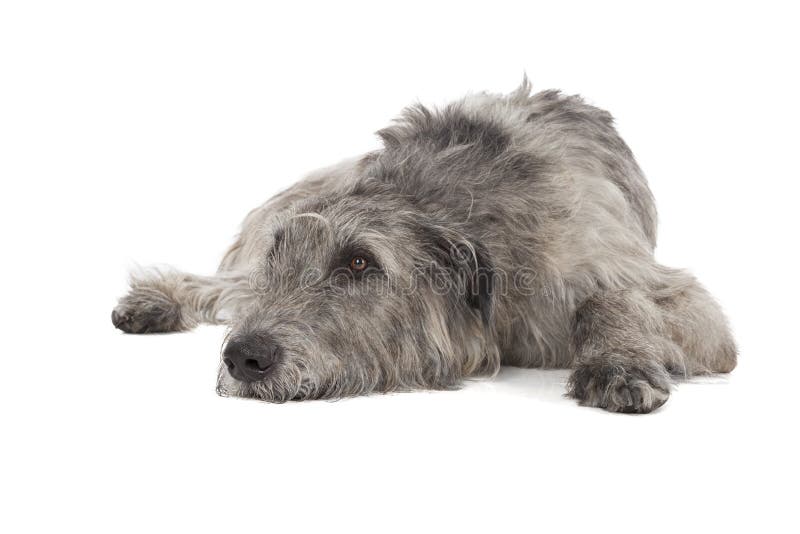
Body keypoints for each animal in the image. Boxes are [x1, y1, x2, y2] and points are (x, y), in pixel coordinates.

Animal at [112, 80, 736, 414]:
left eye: (359, 262)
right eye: (278, 259)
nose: (245, 357)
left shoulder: (666, 296)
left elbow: (615, 297)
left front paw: (617, 361)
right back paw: (156, 301)